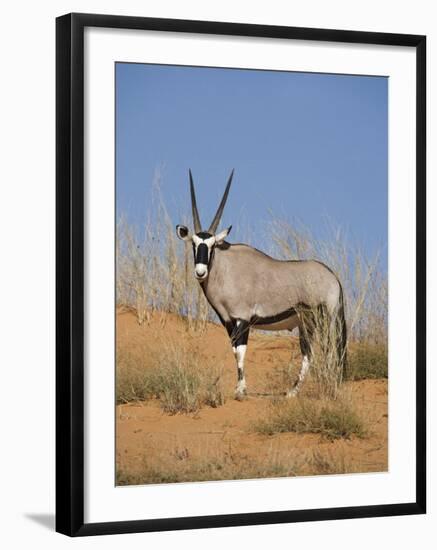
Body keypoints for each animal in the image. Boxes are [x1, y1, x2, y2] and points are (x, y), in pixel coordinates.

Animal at [175, 170, 346, 398]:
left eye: (212, 245)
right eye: (194, 244)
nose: (200, 272)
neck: (226, 268)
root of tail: (333, 277)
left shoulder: (243, 319)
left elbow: (240, 352)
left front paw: (240, 390)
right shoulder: (228, 321)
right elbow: (234, 351)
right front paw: (239, 387)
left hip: (323, 319)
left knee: (326, 350)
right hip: (307, 323)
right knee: (310, 353)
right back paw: (294, 391)